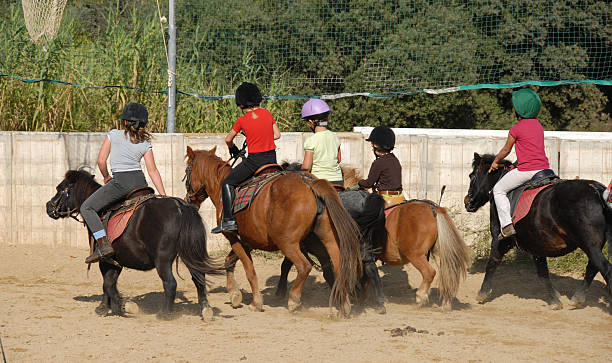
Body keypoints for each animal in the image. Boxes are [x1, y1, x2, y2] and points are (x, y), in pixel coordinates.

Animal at [45, 169, 224, 320]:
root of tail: (180, 207)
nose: (48, 206)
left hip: (163, 260)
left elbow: (107, 284)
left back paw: (164, 314)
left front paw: (122, 306)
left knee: (171, 283)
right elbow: (109, 282)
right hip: (190, 254)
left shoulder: (104, 259)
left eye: (60, 188)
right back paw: (205, 310)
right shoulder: (115, 261)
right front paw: (108, 307)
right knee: (199, 278)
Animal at [182, 146, 364, 318]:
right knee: (338, 267)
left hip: (287, 243)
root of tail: (309, 183)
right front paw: (234, 294)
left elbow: (249, 269)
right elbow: (230, 260)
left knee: (304, 266)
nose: (187, 200)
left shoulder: (233, 236)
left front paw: (255, 302)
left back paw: (294, 300)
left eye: (186, 172)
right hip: (326, 239)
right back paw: (344, 305)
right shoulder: (248, 240)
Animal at [466, 154, 608, 310]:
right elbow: (543, 273)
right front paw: (554, 298)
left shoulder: (500, 239)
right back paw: (578, 298)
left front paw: (483, 292)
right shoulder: (535, 244)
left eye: (472, 176)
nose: (467, 202)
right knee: (593, 267)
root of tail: (597, 190)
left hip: (590, 245)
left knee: (605, 268)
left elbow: (492, 262)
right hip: (594, 246)